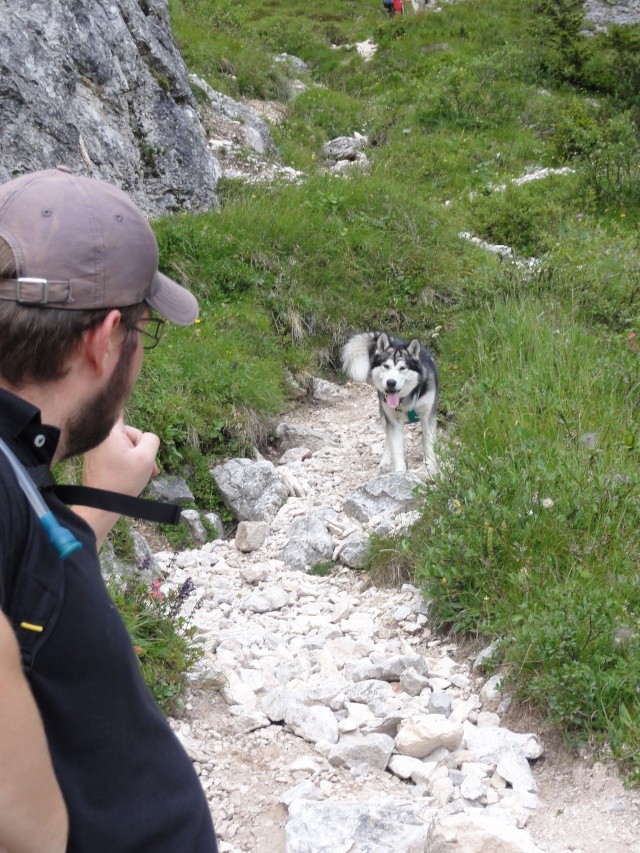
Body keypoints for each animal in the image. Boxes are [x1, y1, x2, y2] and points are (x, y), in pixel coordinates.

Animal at [340, 332, 440, 472]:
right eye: (386, 366)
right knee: (388, 439)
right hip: (384, 416)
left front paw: (430, 465)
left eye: (402, 368)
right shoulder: (393, 421)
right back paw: (386, 460)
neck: (406, 398)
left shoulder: (428, 416)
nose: (391, 382)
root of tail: (397, 341)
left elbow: (428, 443)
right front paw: (400, 472)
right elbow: (396, 448)